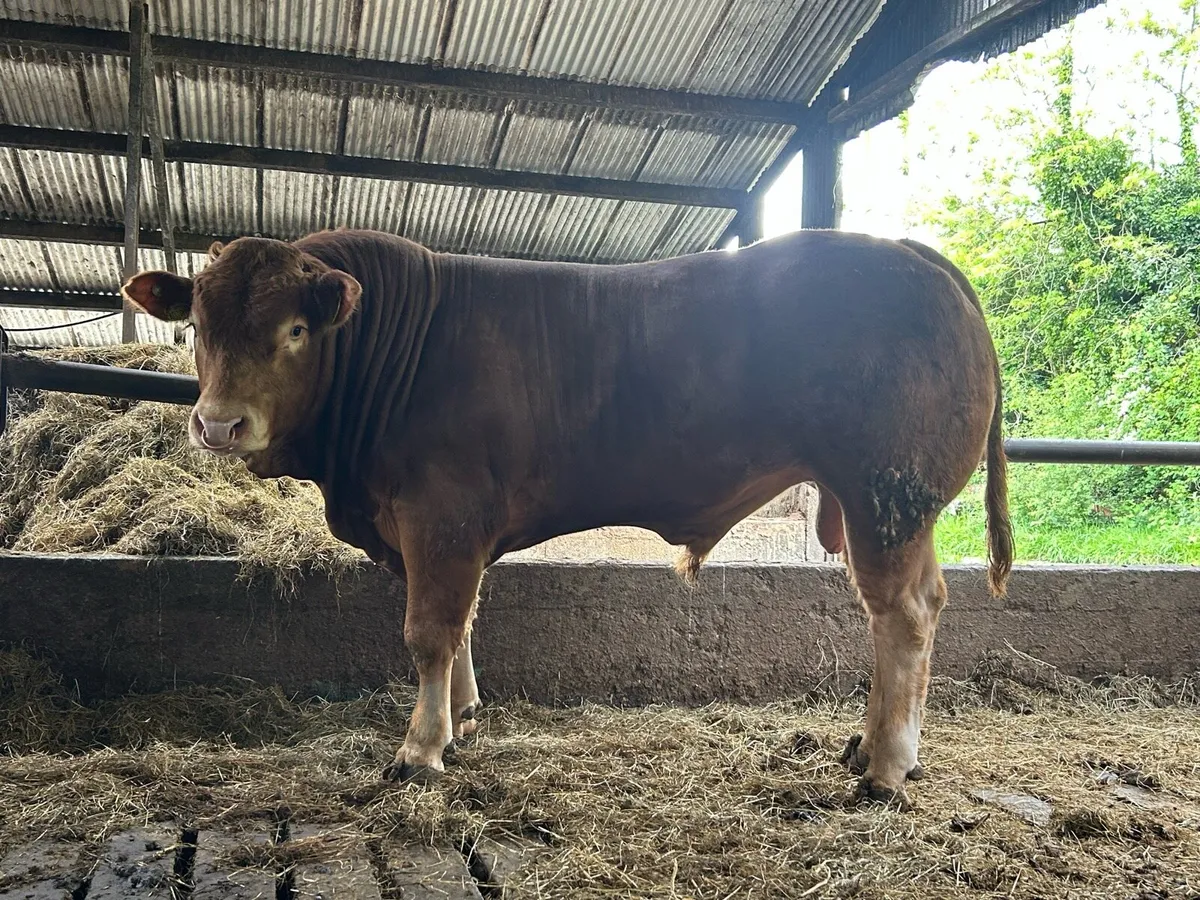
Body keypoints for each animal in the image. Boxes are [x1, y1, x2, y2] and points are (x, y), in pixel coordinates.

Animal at [122, 227, 1013, 809]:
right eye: (198, 324)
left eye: (297, 329)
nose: (219, 425)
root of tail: (913, 252)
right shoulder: (437, 530)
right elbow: (463, 620)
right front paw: (464, 717)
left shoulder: (441, 514)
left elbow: (428, 630)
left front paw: (420, 750)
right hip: (896, 508)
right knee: (922, 603)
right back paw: (872, 747)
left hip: (885, 493)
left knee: (900, 614)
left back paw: (886, 766)